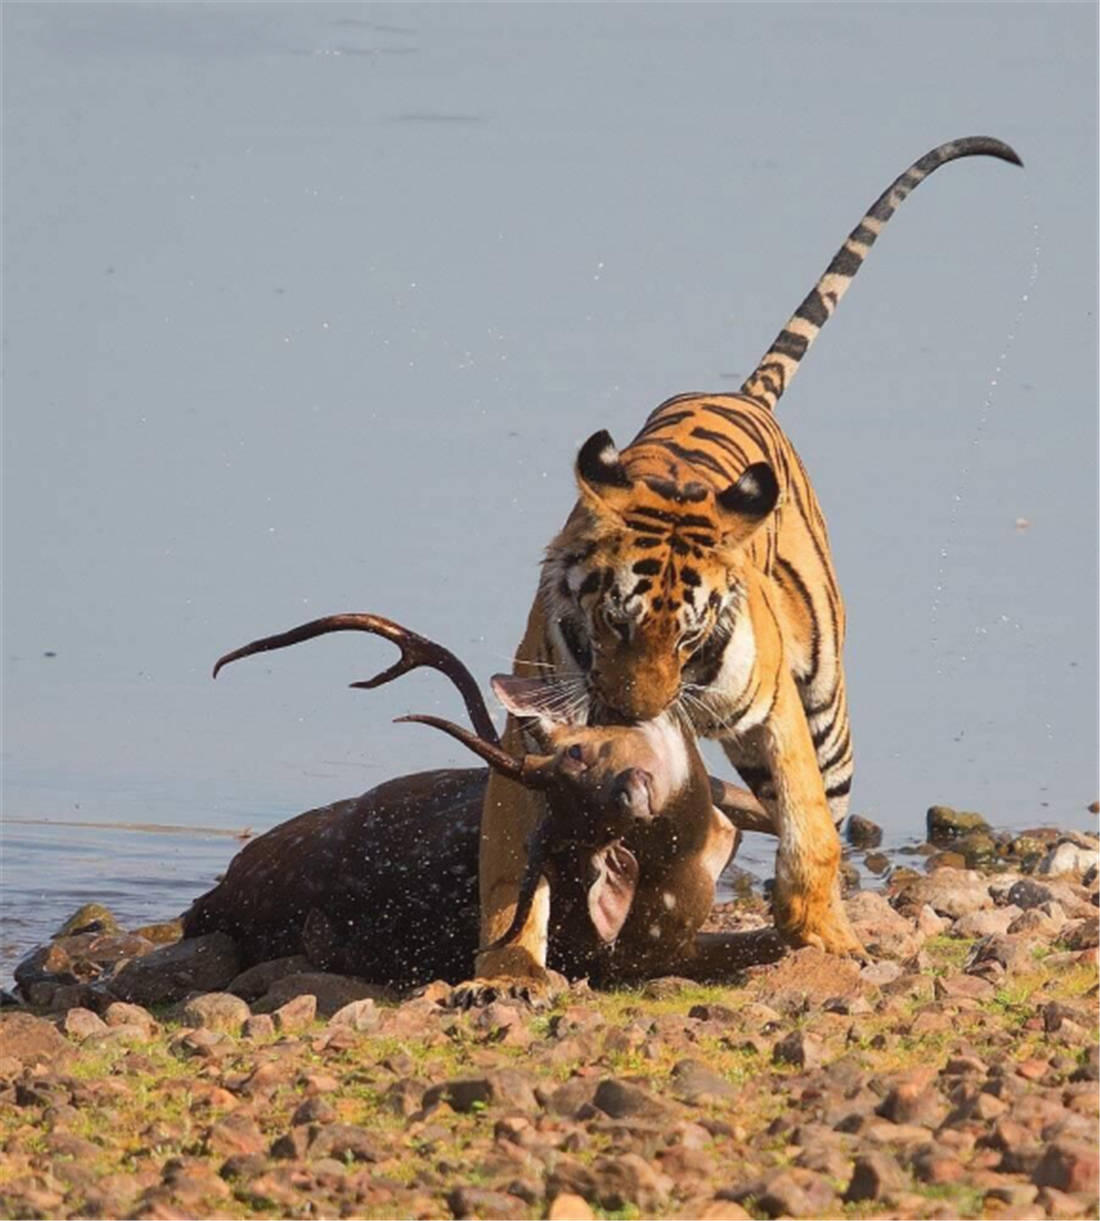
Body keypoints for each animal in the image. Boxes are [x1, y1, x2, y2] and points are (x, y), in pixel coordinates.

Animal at [476, 138, 1025, 986]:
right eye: (614, 621)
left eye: (688, 637)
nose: (631, 717)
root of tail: (739, 394)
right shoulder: (529, 719)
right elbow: (508, 863)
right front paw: (503, 969)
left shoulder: (776, 712)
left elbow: (811, 830)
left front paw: (822, 932)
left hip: (825, 703)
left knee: (827, 805)